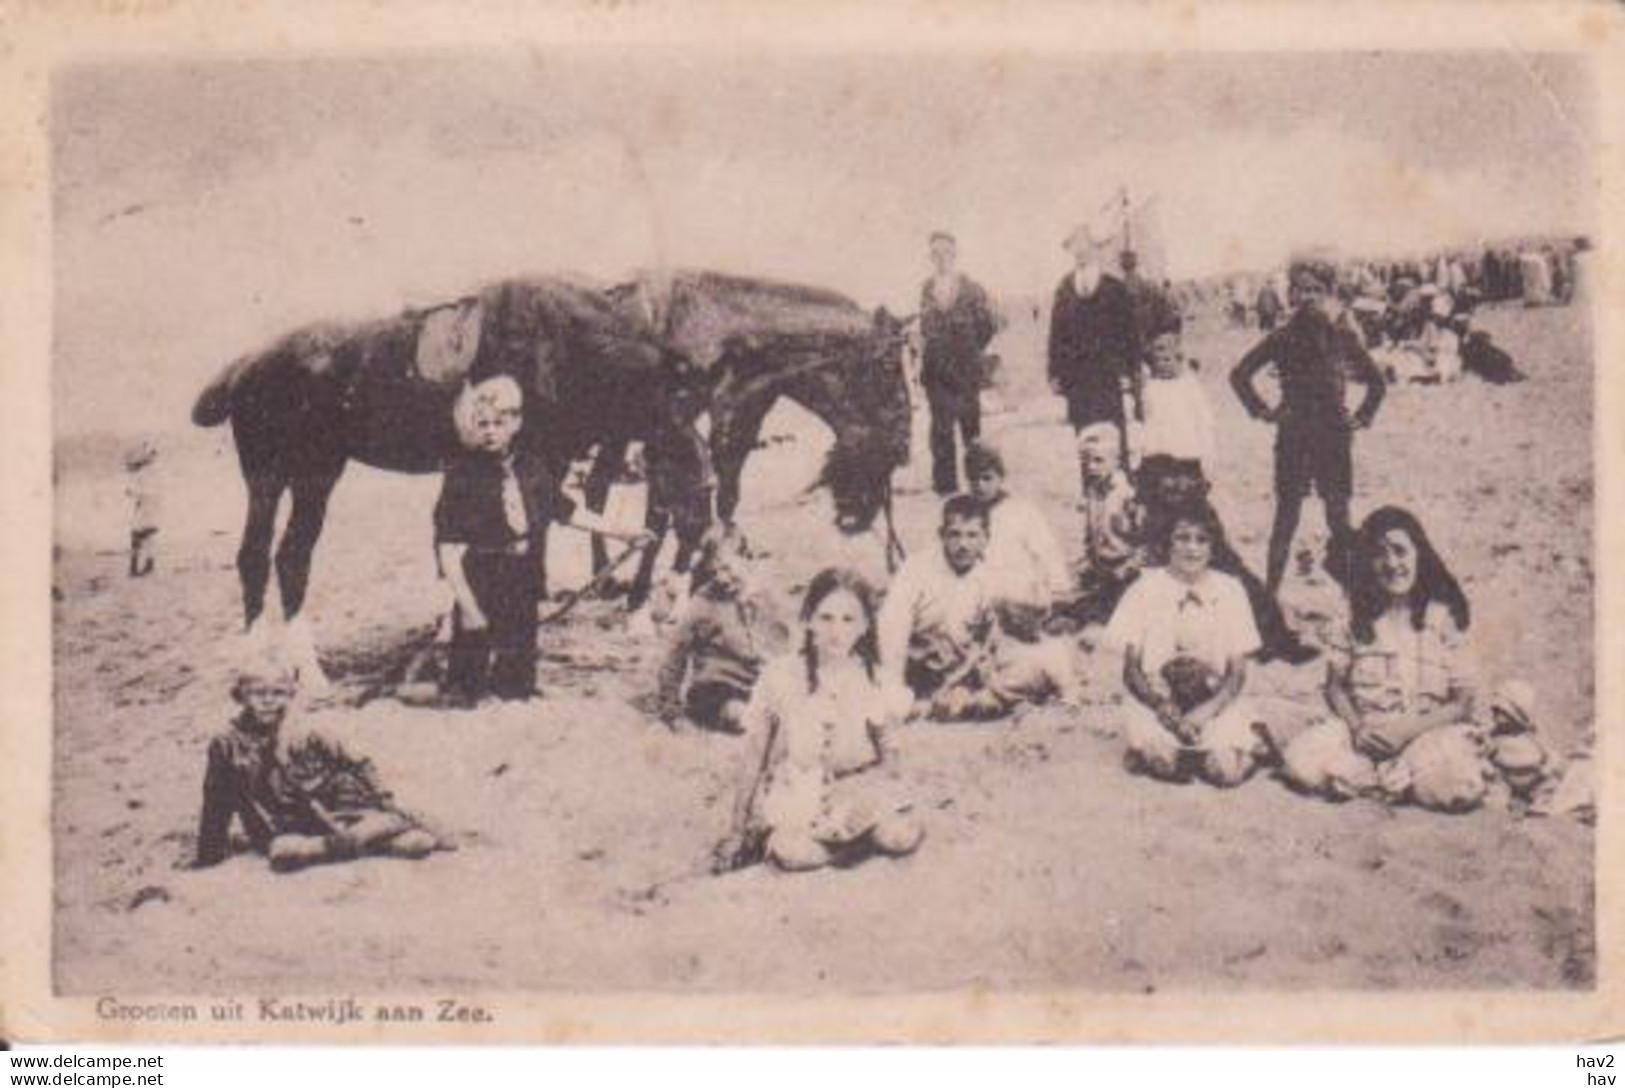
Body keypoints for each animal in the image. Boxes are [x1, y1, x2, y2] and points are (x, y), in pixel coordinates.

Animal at [186, 272, 708, 643]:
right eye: (672, 418)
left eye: (700, 418)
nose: (704, 507)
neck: (559, 346)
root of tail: (247, 364)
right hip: (295, 474)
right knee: (274, 556)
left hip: (291, 477)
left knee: (272, 556)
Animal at [585, 272, 916, 604]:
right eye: (888, 366)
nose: (903, 445)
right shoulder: (667, 433)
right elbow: (662, 512)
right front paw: (642, 592)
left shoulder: (738, 421)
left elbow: (723, 498)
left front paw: (709, 571)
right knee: (597, 489)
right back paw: (604, 576)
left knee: (597, 487)